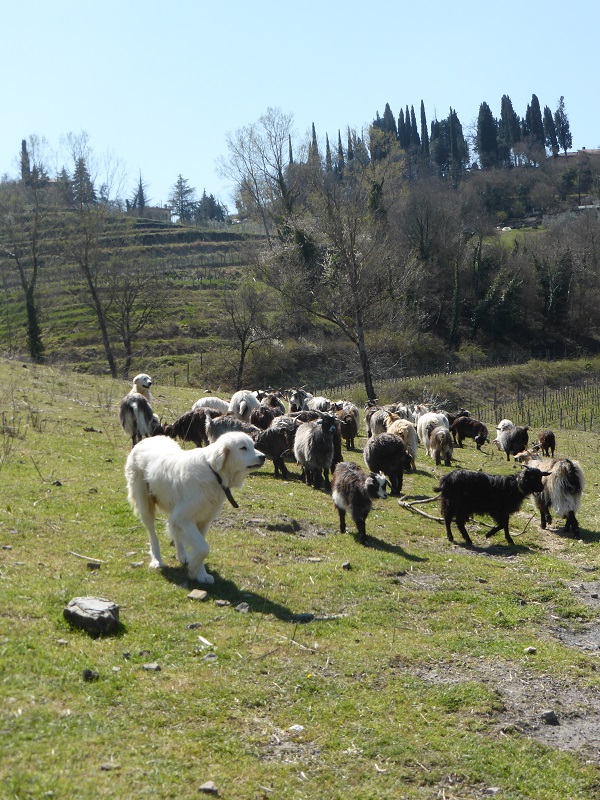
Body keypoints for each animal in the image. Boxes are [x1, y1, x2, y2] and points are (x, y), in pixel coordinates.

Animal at [125, 432, 264, 580]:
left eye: (253, 446)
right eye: (243, 448)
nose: (263, 457)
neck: (213, 473)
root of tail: (146, 439)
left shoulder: (202, 520)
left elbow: (201, 546)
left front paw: (201, 574)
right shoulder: (184, 517)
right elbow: (204, 548)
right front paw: (193, 569)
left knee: (174, 530)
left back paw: (182, 556)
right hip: (145, 505)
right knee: (153, 535)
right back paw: (157, 560)